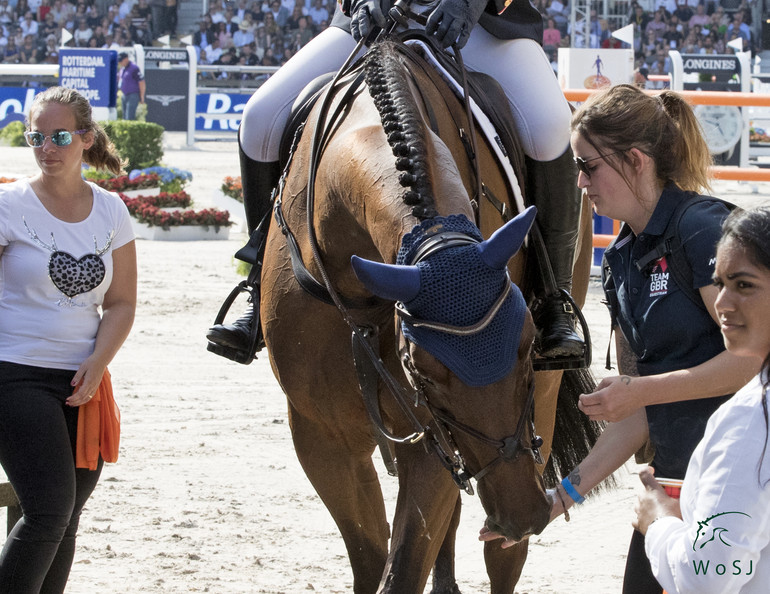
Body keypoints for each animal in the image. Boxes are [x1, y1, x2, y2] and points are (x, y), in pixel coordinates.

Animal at [260, 34, 596, 588]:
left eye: (527, 344)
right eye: (426, 372)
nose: (523, 510)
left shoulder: (434, 441)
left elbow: (401, 567)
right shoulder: (322, 433)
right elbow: (371, 559)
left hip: (539, 408)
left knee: (505, 554)